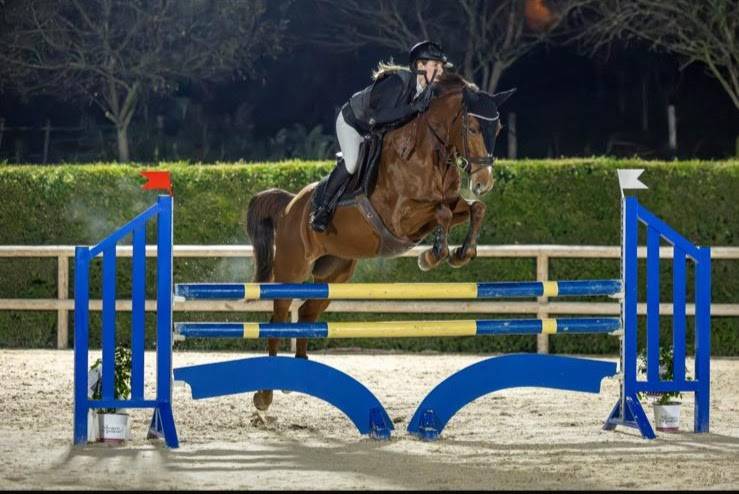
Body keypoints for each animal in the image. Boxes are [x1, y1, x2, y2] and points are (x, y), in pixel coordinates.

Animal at [245, 72, 515, 411]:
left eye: (499, 129)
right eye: (473, 128)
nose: (483, 182)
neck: (429, 153)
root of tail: (291, 204)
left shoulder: (449, 204)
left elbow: (474, 209)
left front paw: (460, 253)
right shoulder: (400, 217)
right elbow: (440, 210)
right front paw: (433, 255)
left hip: (336, 273)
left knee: (306, 312)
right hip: (292, 269)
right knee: (279, 315)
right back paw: (264, 394)